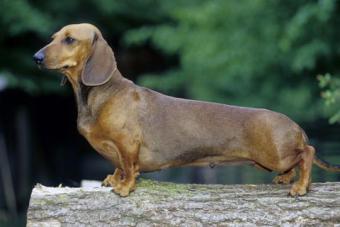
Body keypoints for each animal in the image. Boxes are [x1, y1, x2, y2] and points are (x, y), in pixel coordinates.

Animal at [33, 23, 338, 197]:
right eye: (53, 37)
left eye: (70, 39)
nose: (36, 57)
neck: (102, 93)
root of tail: (296, 126)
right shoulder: (116, 150)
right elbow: (118, 165)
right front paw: (112, 179)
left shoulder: (127, 144)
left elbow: (129, 167)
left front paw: (124, 186)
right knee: (297, 160)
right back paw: (287, 179)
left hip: (275, 154)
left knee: (307, 153)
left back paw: (300, 186)